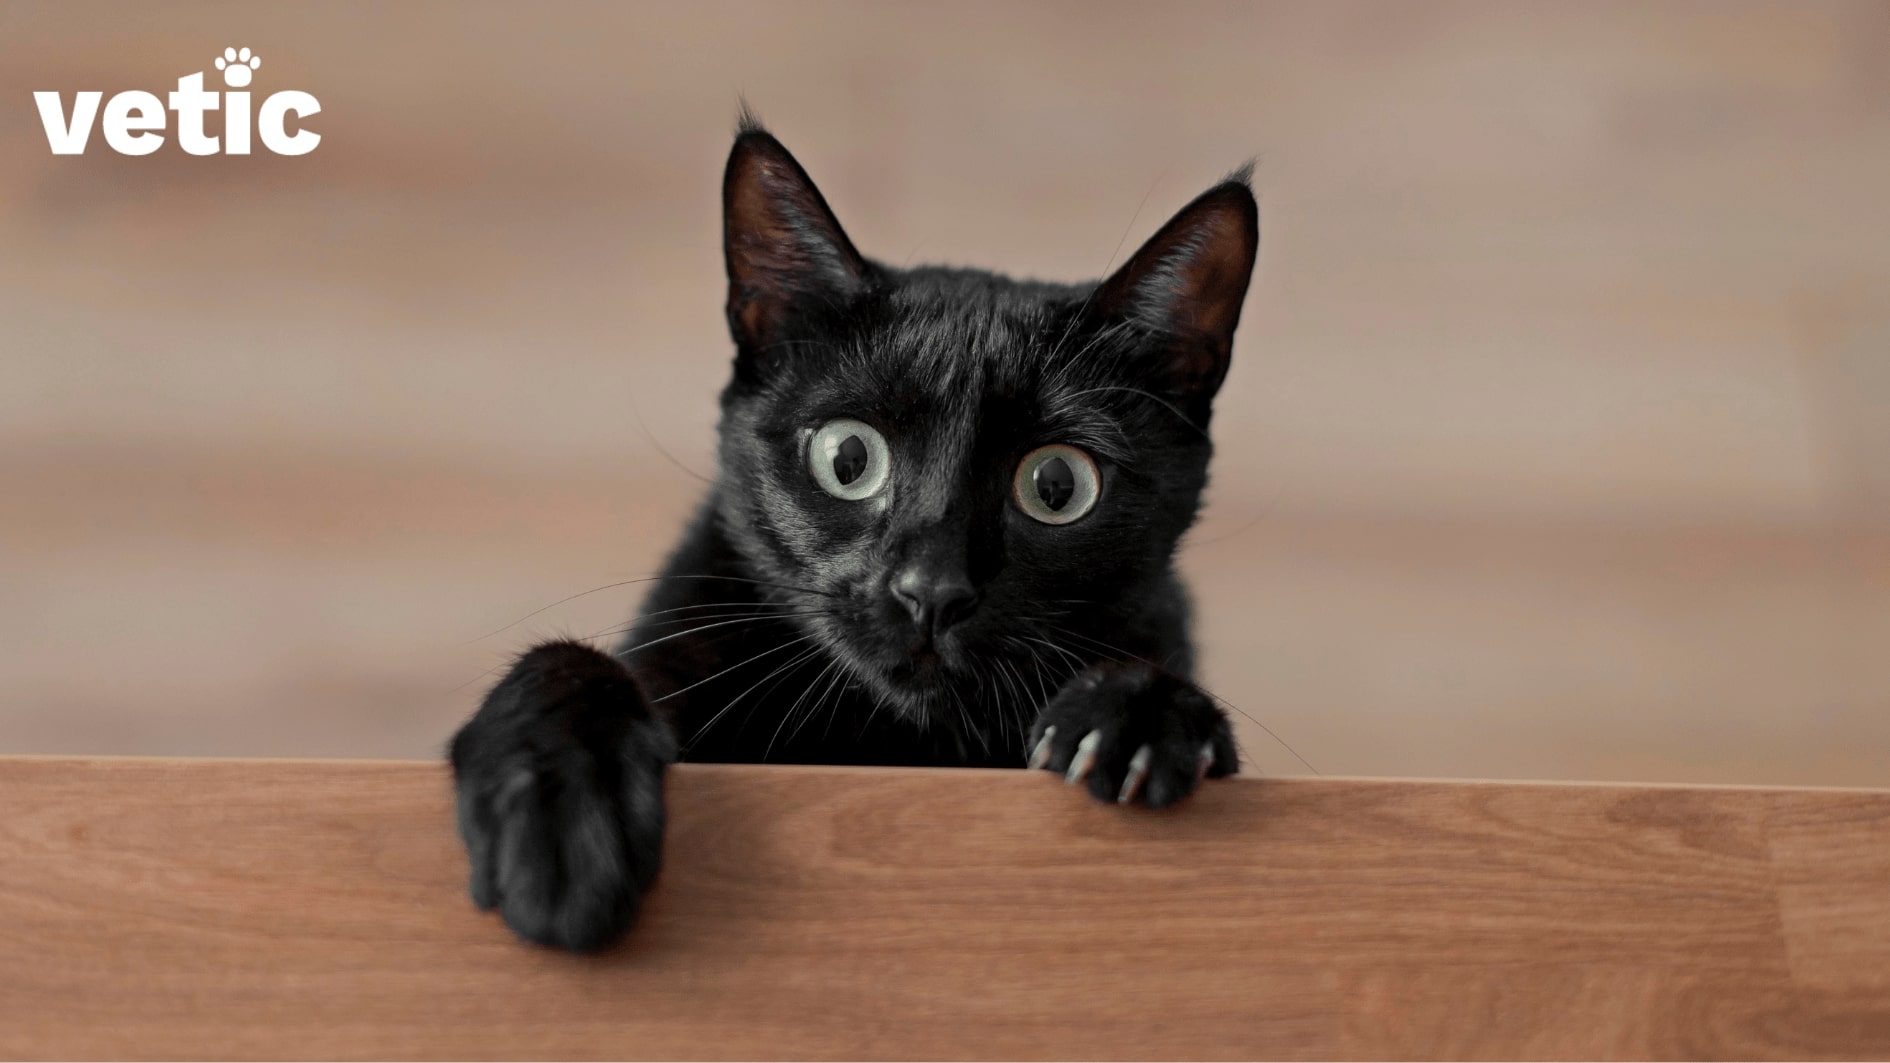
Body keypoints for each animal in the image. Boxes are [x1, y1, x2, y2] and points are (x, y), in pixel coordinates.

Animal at [449, 117, 1262, 953]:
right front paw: (560, 812)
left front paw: (1136, 715)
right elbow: (568, 660)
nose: (932, 589)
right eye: (847, 458)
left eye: (1058, 486)